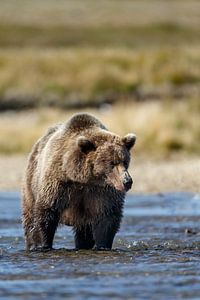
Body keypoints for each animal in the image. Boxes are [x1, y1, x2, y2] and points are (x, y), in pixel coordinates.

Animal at [21, 112, 136, 251]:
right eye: (111, 163)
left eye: (125, 161)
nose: (127, 181)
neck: (84, 180)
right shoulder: (59, 184)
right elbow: (47, 211)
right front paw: (42, 245)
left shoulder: (102, 192)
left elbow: (107, 217)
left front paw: (102, 245)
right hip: (31, 182)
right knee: (29, 216)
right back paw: (31, 243)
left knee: (84, 231)